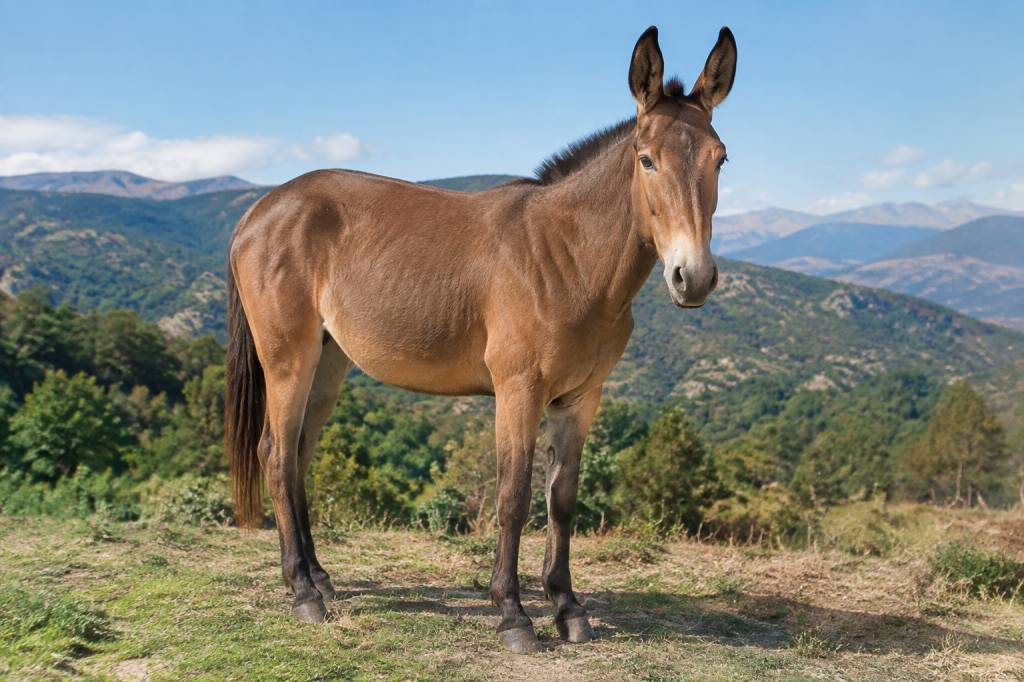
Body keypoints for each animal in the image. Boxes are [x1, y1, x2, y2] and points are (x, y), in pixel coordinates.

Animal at [225, 25, 736, 653]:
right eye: (647, 160)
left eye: (720, 159)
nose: (694, 277)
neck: (566, 257)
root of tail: (260, 210)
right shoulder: (518, 391)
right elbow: (513, 498)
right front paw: (513, 614)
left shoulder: (580, 399)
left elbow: (562, 501)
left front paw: (567, 608)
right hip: (287, 361)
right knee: (274, 454)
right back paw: (302, 593)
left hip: (328, 365)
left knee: (297, 455)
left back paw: (320, 578)